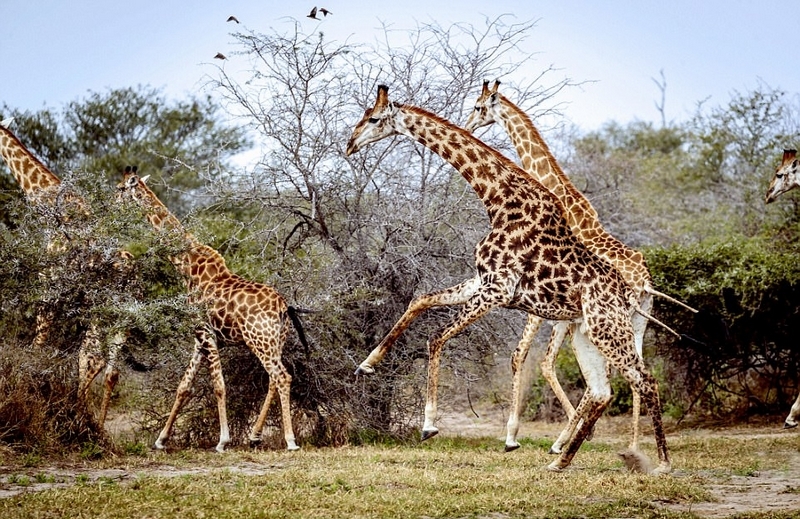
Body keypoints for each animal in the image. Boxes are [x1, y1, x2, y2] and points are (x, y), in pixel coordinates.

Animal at [0, 119, 126, 430]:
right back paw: (97, 426)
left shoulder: (50, 283)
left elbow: (38, 345)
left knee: (91, 357)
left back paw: (80, 418)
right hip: (123, 314)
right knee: (110, 369)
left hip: (101, 308)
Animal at [117, 169, 308, 452]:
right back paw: (254, 435)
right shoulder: (199, 337)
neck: (186, 266)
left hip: (260, 340)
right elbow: (184, 386)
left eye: (120, 189)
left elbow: (219, 386)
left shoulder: (205, 333)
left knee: (282, 377)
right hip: (276, 341)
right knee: (274, 379)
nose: (111, 202)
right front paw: (161, 440)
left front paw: (222, 440)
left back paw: (290, 440)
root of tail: (284, 307)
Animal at [346, 83, 672, 474]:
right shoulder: (483, 281)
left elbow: (440, 337)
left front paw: (430, 425)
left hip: (607, 329)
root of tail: (634, 286)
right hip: (589, 333)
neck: (498, 201)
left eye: (373, 119)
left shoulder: (499, 290)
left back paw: (659, 462)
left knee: (645, 380)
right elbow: (421, 301)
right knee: (602, 391)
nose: (349, 144)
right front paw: (367, 363)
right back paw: (563, 460)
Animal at [466, 80, 696, 456]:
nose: (468, 124)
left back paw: (574, 441)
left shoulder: (547, 301)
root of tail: (645, 282)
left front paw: (515, 435)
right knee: (633, 370)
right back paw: (632, 444)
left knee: (616, 372)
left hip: (611, 319)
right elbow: (545, 361)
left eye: (477, 106)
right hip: (636, 321)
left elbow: (524, 355)